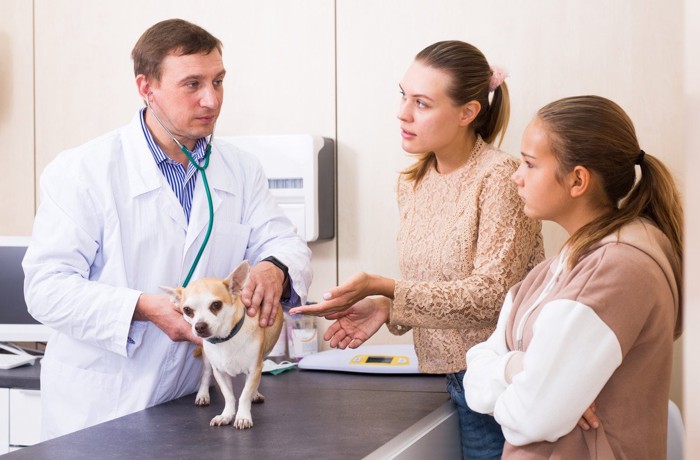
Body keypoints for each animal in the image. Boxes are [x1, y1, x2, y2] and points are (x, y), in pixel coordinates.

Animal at [163, 260, 284, 430]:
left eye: (216, 305)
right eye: (187, 310)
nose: (199, 326)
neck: (226, 339)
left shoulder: (255, 368)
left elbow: (245, 394)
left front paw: (242, 416)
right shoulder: (220, 372)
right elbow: (229, 396)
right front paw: (226, 415)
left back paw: (254, 394)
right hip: (208, 361)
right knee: (206, 374)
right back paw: (202, 395)